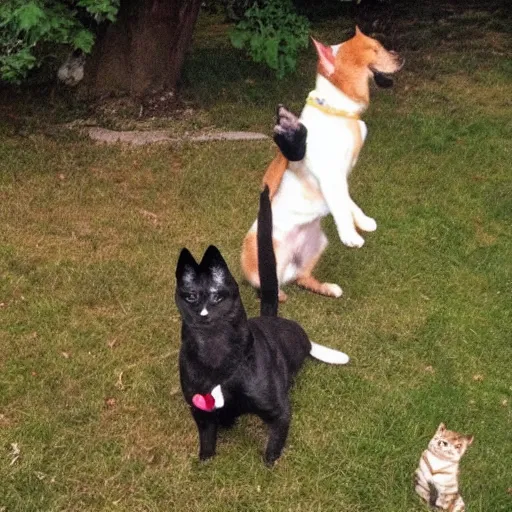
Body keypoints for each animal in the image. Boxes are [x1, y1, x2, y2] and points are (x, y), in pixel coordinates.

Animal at [175, 186, 348, 466]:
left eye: (217, 296)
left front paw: (270, 463)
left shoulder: (279, 411)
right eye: (190, 296)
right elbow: (207, 441)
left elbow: (273, 447)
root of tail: (270, 318)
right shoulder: (201, 413)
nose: (203, 314)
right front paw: (205, 462)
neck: (217, 359)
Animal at [241, 27, 404, 300]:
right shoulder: (330, 176)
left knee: (303, 279)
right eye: (374, 50)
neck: (340, 111)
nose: (400, 58)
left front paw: (362, 222)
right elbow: (341, 207)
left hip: (318, 245)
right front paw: (351, 235)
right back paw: (277, 294)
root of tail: (287, 271)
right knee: (267, 286)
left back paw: (328, 288)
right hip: (259, 259)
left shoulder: (340, 178)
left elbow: (348, 202)